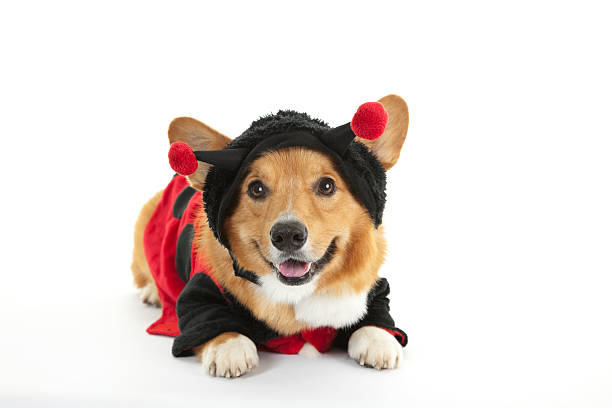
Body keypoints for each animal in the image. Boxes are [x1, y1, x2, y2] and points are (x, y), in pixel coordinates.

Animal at [133, 94, 412, 378]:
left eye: (327, 185)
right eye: (256, 188)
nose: (287, 235)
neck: (295, 294)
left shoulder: (374, 290)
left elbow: (375, 317)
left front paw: (378, 339)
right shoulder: (201, 295)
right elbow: (212, 322)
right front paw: (230, 347)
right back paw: (154, 293)